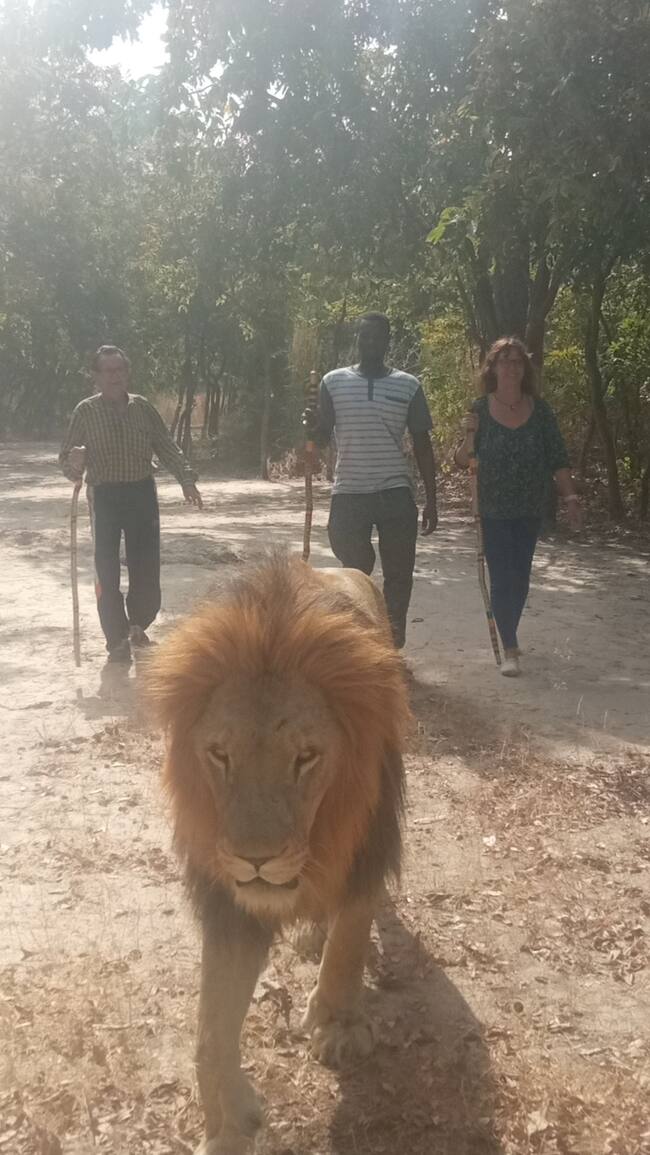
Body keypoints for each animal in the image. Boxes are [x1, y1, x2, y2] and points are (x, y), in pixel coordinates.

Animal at [147, 554, 410, 1155]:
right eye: (220, 754)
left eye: (306, 757)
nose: (256, 861)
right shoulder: (230, 903)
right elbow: (210, 1030)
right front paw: (228, 1125)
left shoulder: (368, 846)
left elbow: (351, 937)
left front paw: (338, 1026)